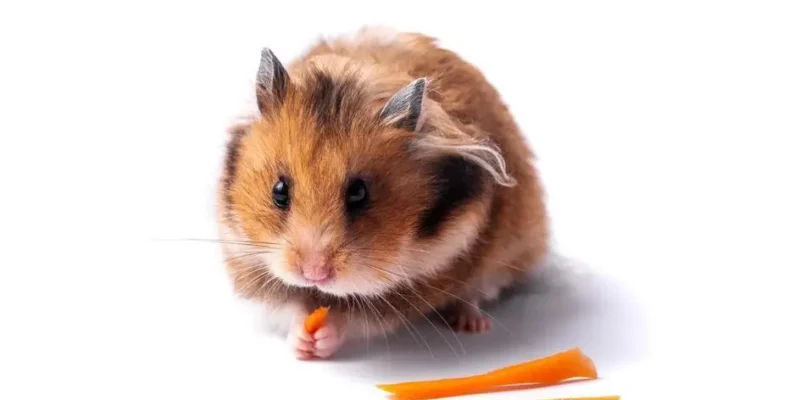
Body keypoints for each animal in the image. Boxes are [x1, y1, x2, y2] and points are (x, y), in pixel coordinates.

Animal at [217, 27, 549, 359]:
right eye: (279, 191)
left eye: (359, 194)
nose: (314, 274)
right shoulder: (249, 261)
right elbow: (292, 306)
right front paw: (304, 344)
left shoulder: (425, 277)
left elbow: (357, 317)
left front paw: (323, 335)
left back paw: (472, 324)